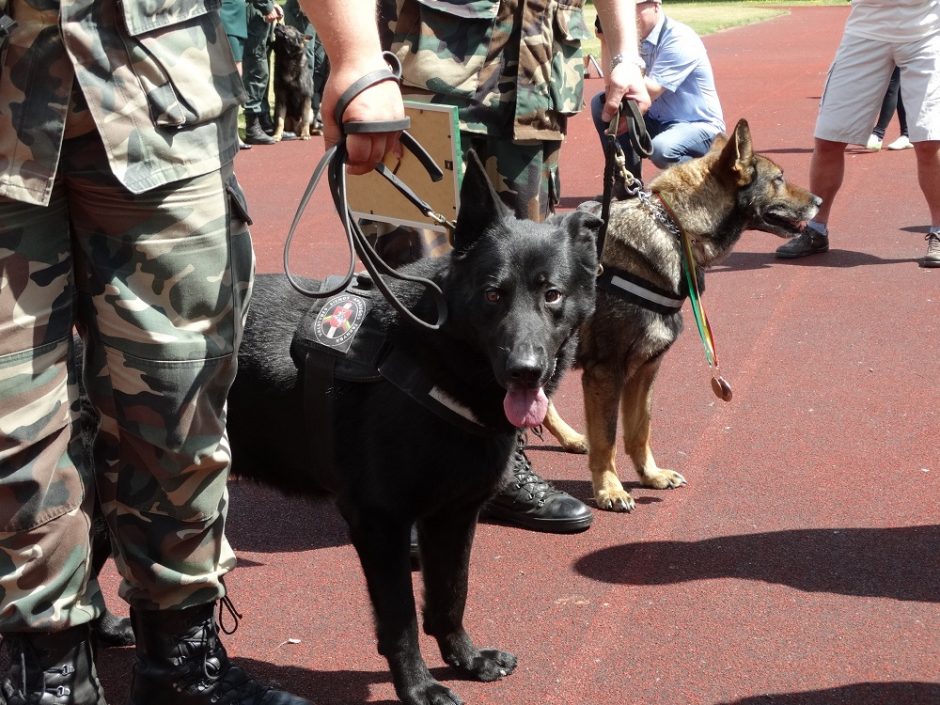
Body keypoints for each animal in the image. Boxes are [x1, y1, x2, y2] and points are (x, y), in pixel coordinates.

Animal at [224, 153, 600, 704]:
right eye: (493, 294)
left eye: (552, 294)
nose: (525, 372)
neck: (432, 359)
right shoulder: (380, 524)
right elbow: (399, 619)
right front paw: (418, 687)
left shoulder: (453, 516)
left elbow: (450, 595)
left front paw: (465, 659)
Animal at [544, 119, 824, 512]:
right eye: (779, 178)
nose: (820, 202)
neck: (673, 227)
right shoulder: (606, 373)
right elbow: (608, 440)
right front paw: (609, 489)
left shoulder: (645, 370)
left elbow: (639, 430)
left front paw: (650, 476)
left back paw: (570, 437)